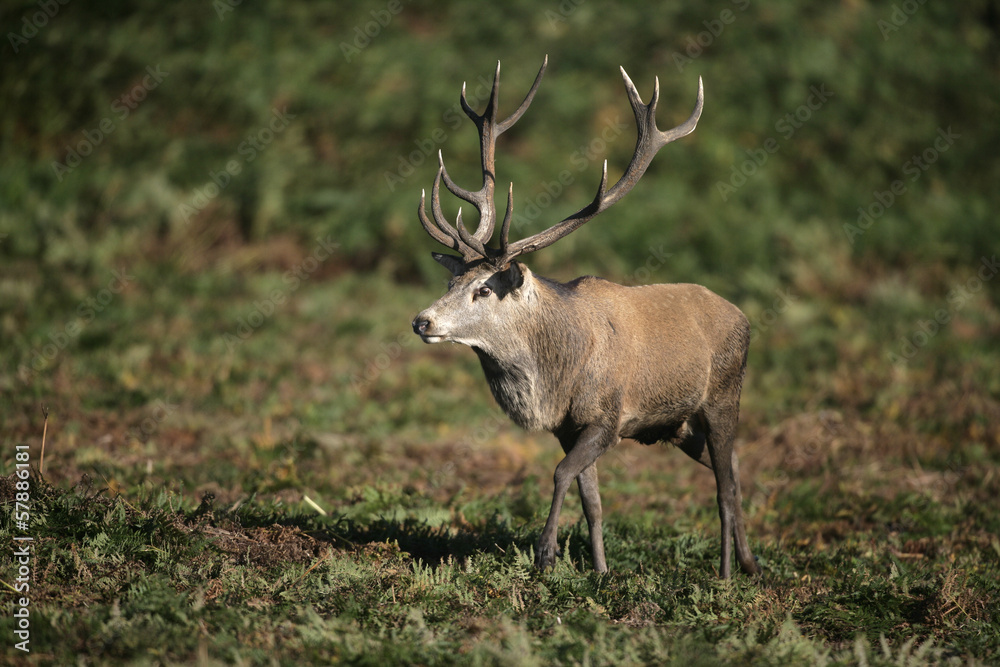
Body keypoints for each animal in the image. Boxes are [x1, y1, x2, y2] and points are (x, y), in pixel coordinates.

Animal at [411, 56, 761, 578]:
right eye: (450, 282)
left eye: (482, 289)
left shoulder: (607, 417)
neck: (558, 375)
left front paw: (546, 553)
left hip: (722, 396)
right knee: (735, 469)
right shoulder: (568, 428)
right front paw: (600, 572)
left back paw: (724, 573)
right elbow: (591, 500)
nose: (422, 321)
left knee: (725, 483)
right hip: (679, 425)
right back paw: (750, 561)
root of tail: (743, 316)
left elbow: (561, 475)